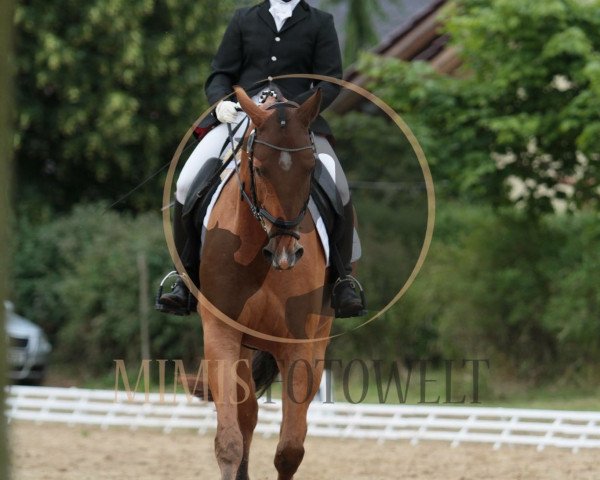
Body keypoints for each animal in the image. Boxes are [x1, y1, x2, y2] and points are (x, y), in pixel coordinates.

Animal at [199, 86, 336, 480]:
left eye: (310, 169)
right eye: (259, 168)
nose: (285, 253)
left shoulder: (298, 344)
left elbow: (290, 450)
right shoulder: (221, 334)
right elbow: (229, 441)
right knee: (247, 416)